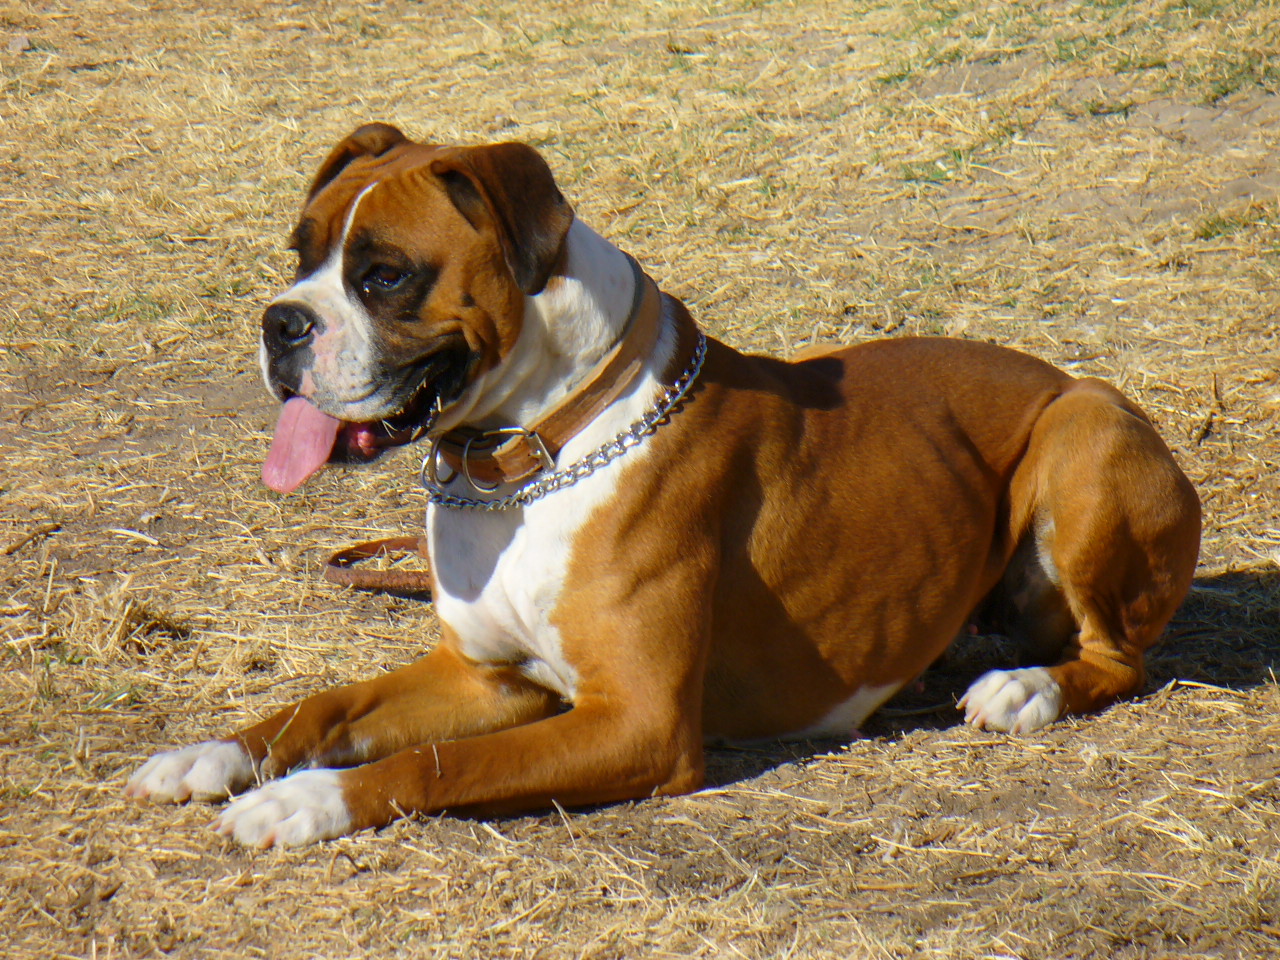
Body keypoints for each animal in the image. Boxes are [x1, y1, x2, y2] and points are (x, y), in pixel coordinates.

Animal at [124, 122, 1203, 849]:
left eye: (384, 275)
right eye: (301, 254)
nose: (279, 322)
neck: (525, 461)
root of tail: (1066, 377)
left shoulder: (635, 724)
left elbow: (439, 763)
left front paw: (300, 801)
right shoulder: (485, 677)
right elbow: (325, 707)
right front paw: (219, 754)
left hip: (1083, 432)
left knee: (1116, 657)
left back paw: (1025, 690)